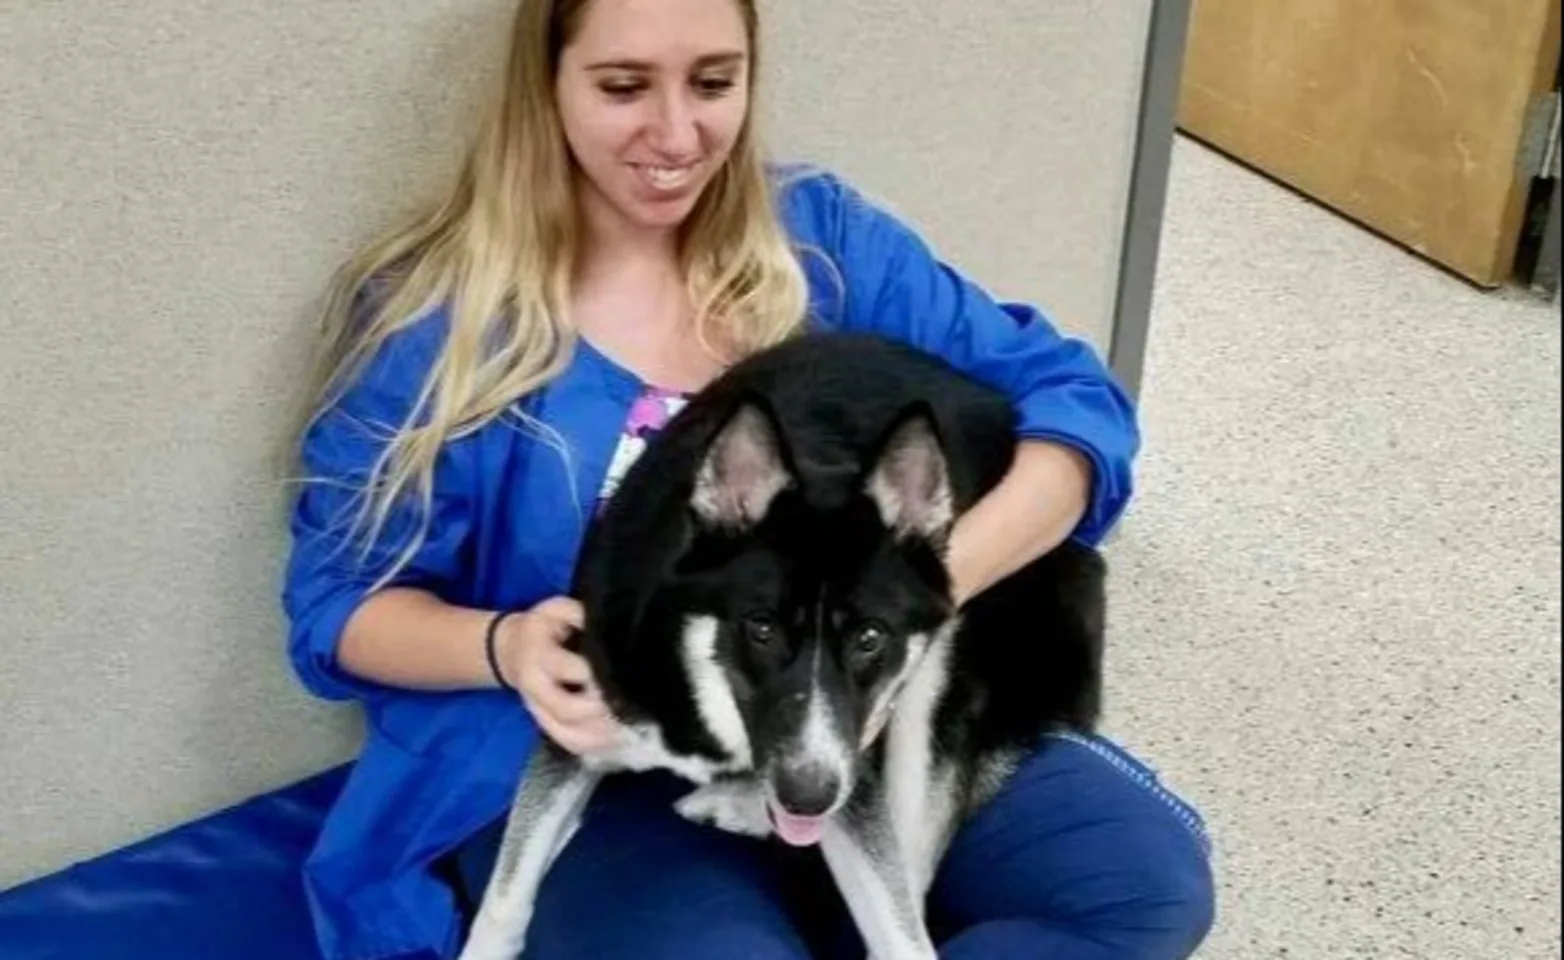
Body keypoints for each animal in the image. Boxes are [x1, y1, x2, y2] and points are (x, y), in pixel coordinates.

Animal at [456, 333, 1107, 960]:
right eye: (761, 628)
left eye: (870, 638)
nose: (808, 796)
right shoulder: (572, 733)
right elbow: (504, 898)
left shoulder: (851, 768)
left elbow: (902, 933)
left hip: (936, 687)